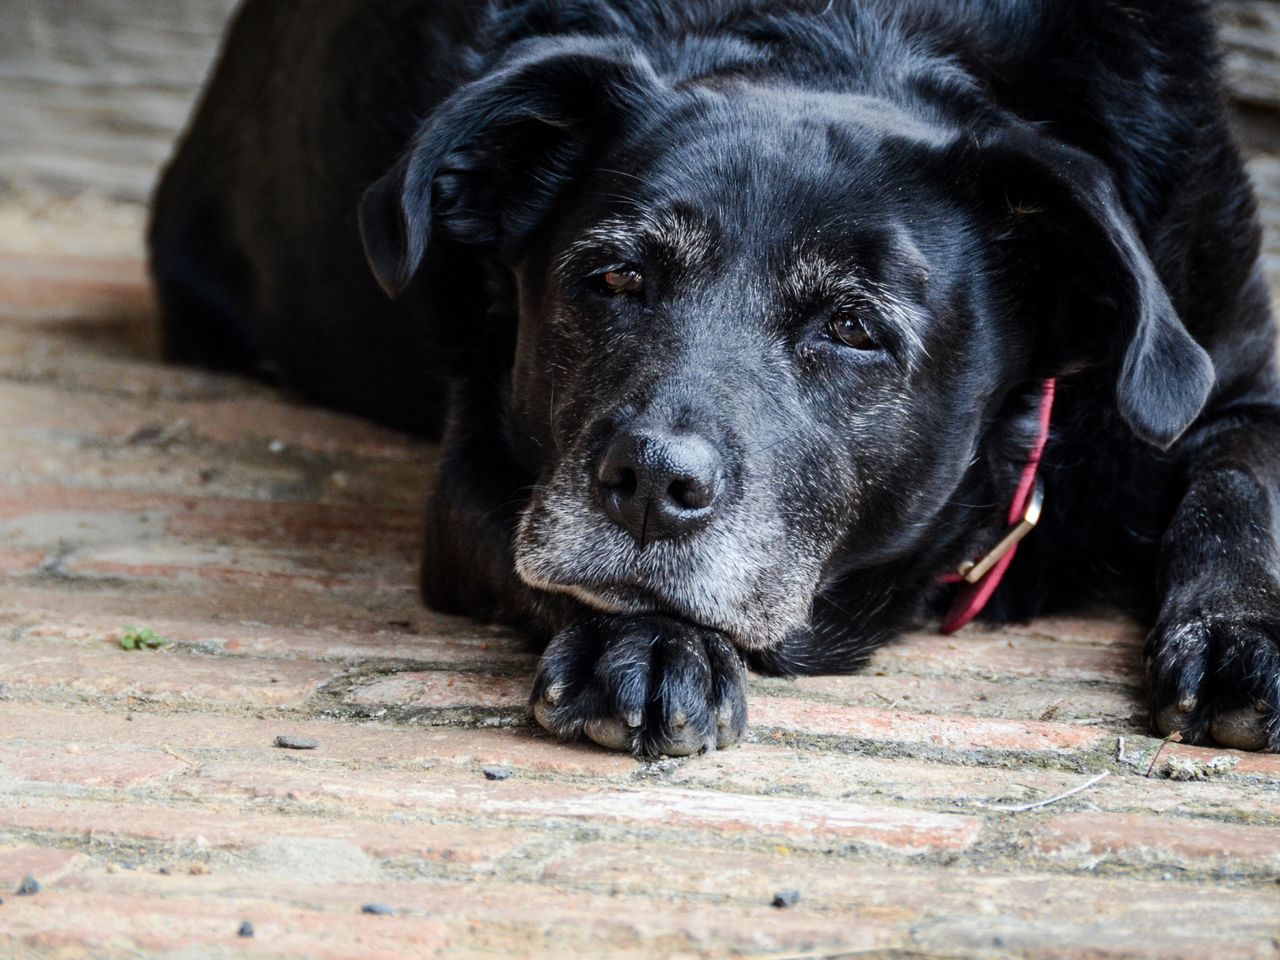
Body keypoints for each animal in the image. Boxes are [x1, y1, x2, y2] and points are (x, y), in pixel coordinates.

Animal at [152, 1, 1280, 757]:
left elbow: (1240, 486)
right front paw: (648, 642)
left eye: (854, 328)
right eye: (613, 276)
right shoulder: (485, 464)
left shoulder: (1235, 377)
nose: (649, 482)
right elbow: (549, 565)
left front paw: (1242, 635)